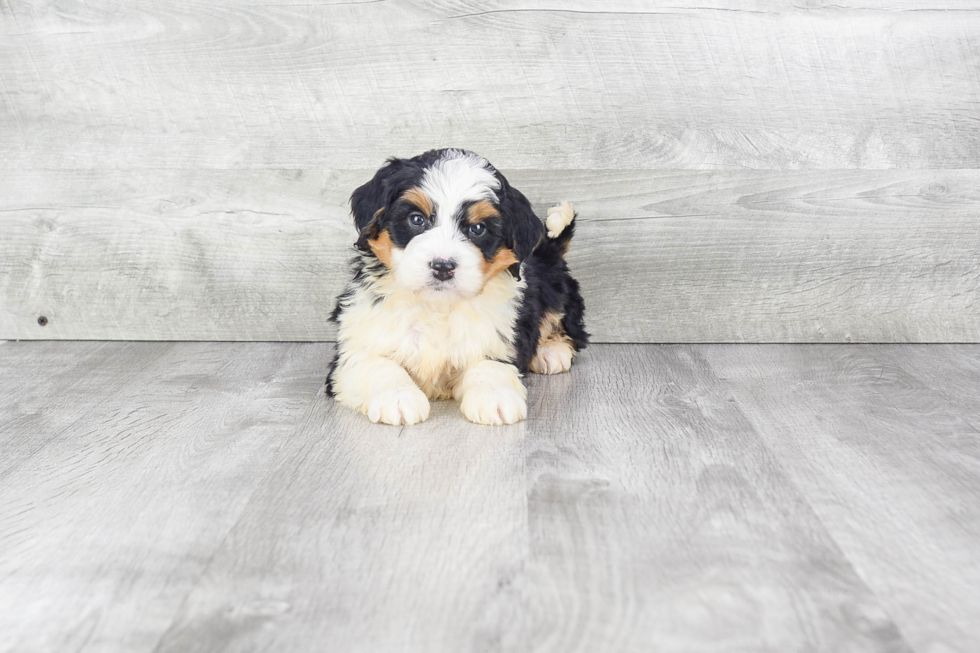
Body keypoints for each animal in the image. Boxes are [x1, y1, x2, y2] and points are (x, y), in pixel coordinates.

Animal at [328, 148, 588, 426]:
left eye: (477, 228)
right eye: (416, 219)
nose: (443, 266)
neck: (436, 306)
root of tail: (549, 250)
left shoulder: (500, 337)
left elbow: (489, 363)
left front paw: (494, 396)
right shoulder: (353, 347)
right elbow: (374, 364)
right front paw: (397, 397)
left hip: (556, 289)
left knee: (568, 326)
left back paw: (551, 351)